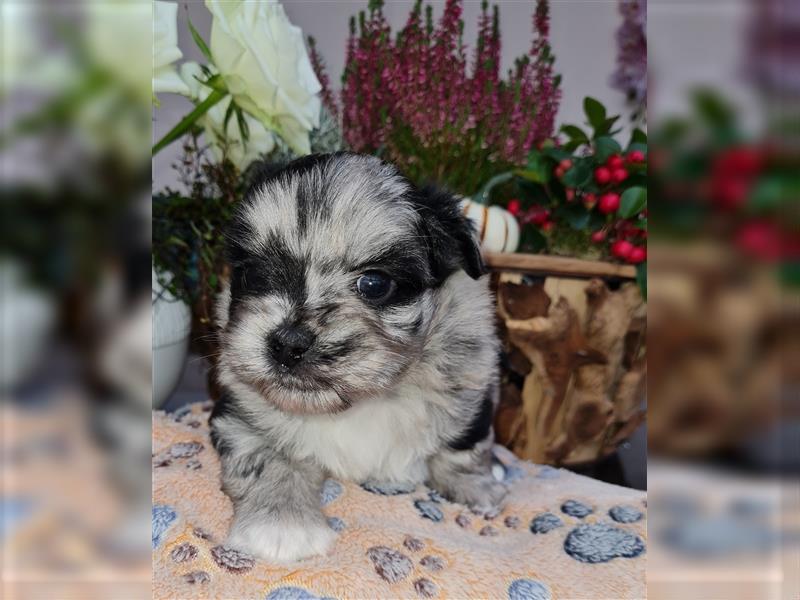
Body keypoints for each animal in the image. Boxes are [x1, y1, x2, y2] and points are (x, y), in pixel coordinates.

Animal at [209, 151, 504, 564]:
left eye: (375, 283)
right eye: (252, 274)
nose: (286, 344)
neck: (359, 403)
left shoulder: (471, 380)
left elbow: (463, 442)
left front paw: (476, 484)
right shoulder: (239, 413)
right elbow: (269, 457)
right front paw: (282, 523)